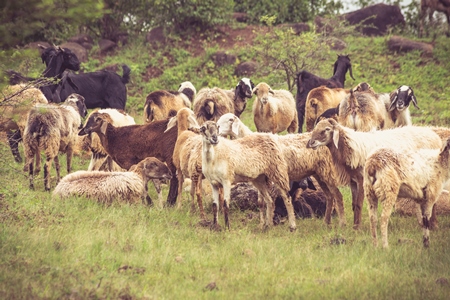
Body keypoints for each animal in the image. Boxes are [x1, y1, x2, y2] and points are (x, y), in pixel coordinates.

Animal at [216, 113, 346, 226]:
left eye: (229, 120)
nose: (216, 130)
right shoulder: (261, 178)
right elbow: (261, 202)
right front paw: (262, 223)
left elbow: (270, 200)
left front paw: (270, 221)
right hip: (318, 173)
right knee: (330, 196)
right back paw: (326, 222)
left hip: (327, 170)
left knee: (337, 195)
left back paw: (340, 223)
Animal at [306, 118, 442, 229]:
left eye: (326, 129)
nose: (310, 143)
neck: (351, 146)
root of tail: (433, 135)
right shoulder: (353, 180)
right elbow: (354, 204)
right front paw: (355, 225)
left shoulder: (362, 179)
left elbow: (359, 204)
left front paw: (357, 227)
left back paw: (434, 225)